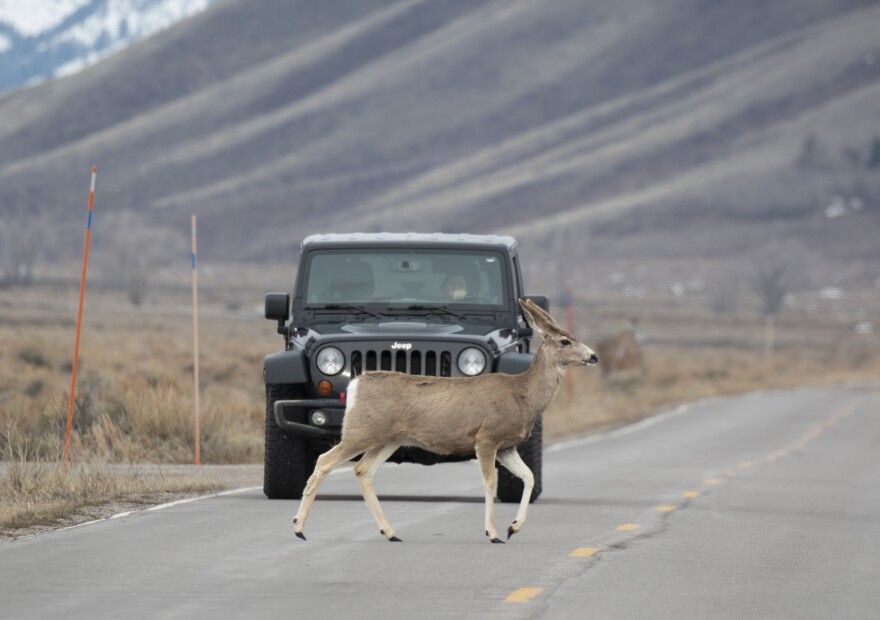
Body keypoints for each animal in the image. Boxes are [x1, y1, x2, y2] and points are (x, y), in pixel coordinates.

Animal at [294, 298, 600, 540]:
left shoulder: (507, 446)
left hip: (388, 439)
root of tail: (356, 383)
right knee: (324, 460)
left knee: (362, 470)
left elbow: (529, 477)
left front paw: (513, 527)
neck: (522, 395)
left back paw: (390, 532)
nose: (593, 356)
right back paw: (298, 528)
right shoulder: (486, 438)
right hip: (361, 431)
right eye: (565, 341)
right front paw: (493, 533)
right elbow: (490, 483)